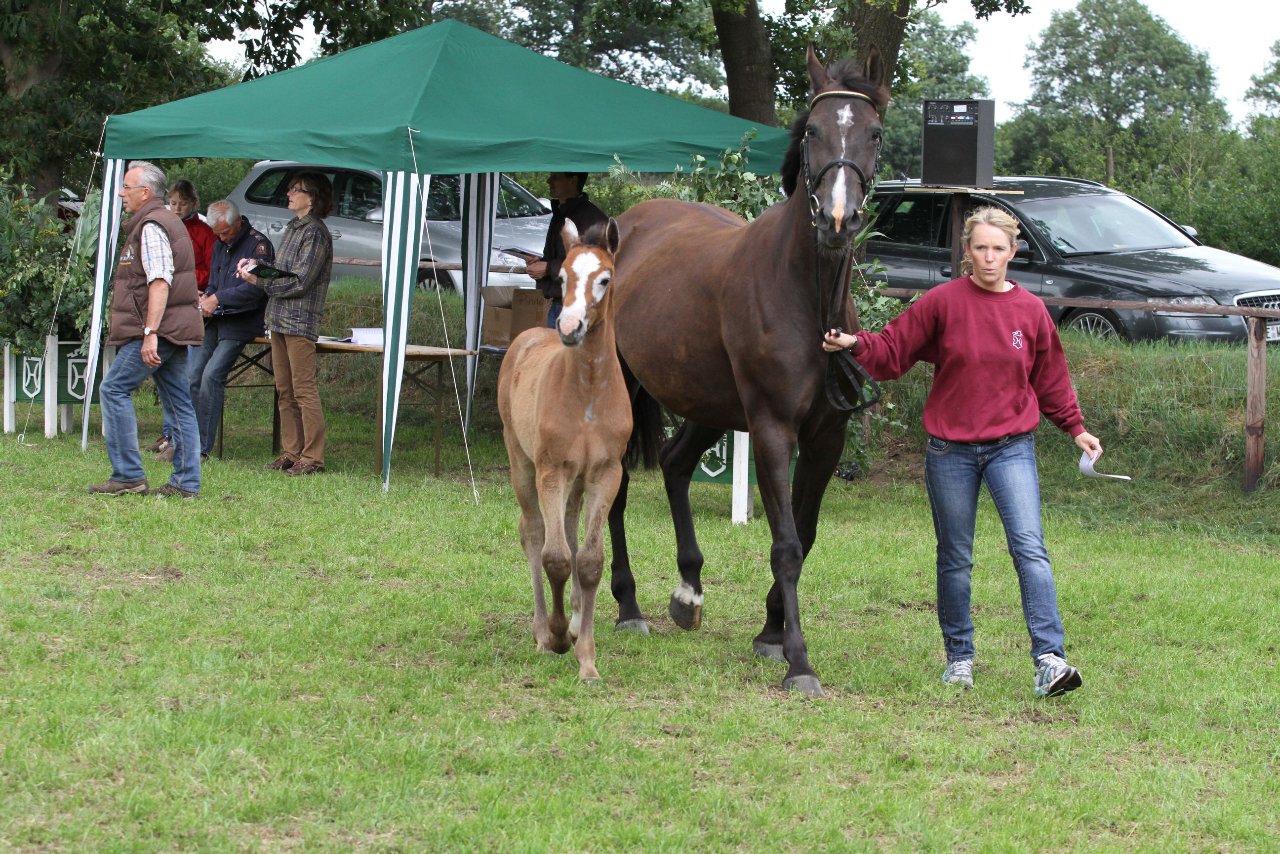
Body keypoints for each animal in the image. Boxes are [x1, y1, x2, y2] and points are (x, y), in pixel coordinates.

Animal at [604, 46, 885, 696]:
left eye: (874, 134)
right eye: (811, 132)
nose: (838, 220)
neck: (804, 294)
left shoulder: (826, 436)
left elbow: (805, 534)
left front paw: (771, 633)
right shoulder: (774, 429)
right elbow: (785, 544)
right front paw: (799, 661)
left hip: (709, 404)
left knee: (677, 465)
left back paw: (688, 592)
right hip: (627, 393)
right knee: (617, 491)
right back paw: (629, 607)